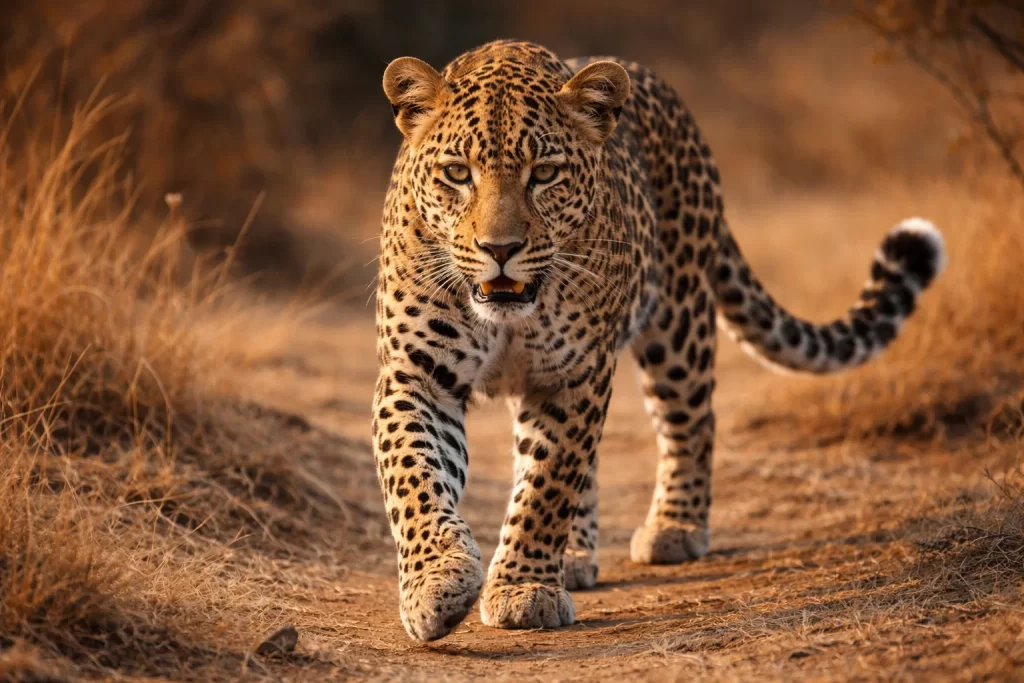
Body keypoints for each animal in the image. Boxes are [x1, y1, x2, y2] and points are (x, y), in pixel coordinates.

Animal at [371, 39, 946, 642]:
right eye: (457, 173)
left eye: (545, 173)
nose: (499, 248)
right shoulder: (418, 375)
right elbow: (414, 476)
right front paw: (435, 584)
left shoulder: (576, 375)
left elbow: (548, 485)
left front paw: (523, 588)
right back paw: (575, 557)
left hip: (678, 325)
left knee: (691, 422)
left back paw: (674, 527)